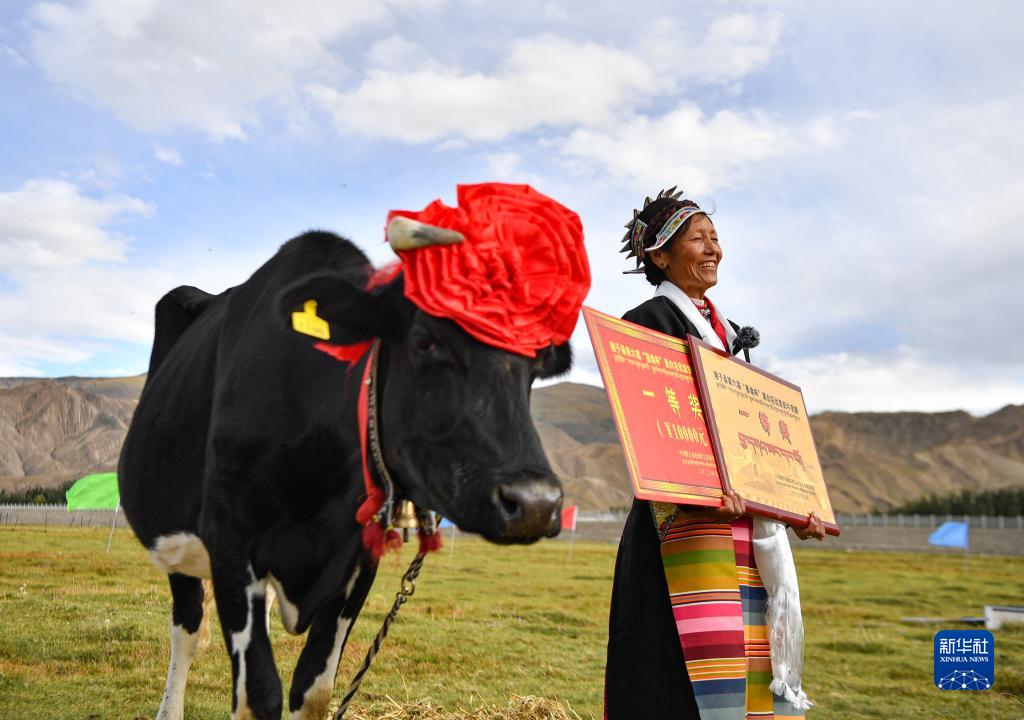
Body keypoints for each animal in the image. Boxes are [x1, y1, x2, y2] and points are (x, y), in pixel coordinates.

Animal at [118, 218, 575, 720]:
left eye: (536, 362)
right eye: (425, 340)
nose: (536, 503)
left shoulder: (358, 559)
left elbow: (313, 690)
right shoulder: (230, 541)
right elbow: (258, 694)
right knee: (187, 629)